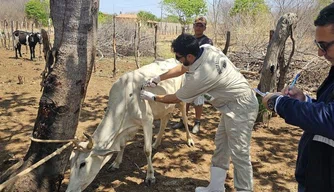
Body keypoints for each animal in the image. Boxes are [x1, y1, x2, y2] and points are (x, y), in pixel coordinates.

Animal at [65, 59, 194, 192]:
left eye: (83, 164)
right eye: (70, 161)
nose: (69, 190)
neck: (126, 99)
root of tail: (175, 60)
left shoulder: (147, 120)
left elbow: (147, 150)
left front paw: (150, 176)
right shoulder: (127, 128)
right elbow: (122, 145)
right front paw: (116, 163)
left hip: (181, 99)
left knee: (184, 118)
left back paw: (189, 140)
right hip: (164, 107)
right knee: (164, 121)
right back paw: (156, 143)